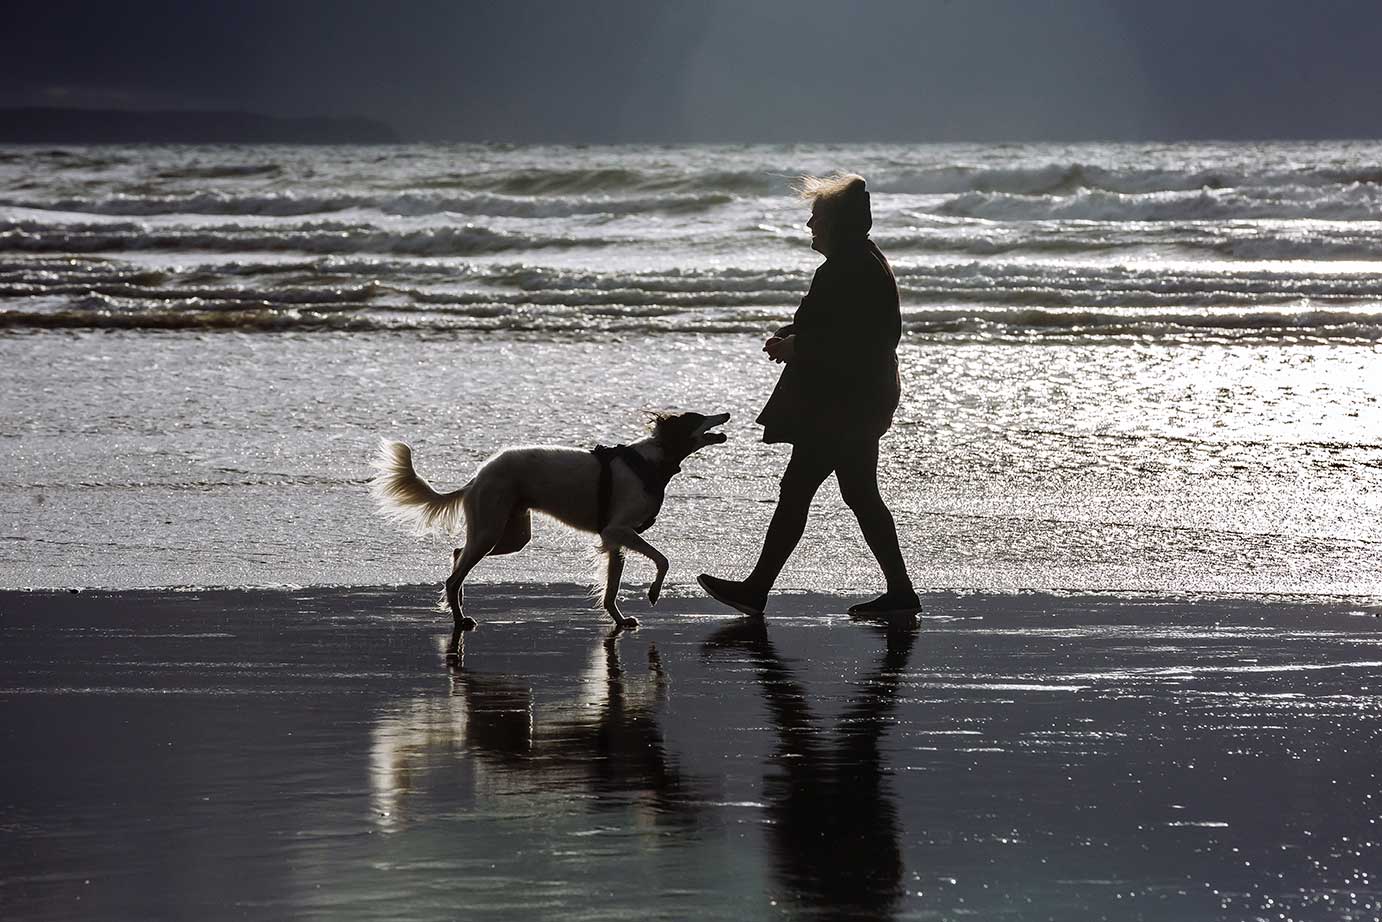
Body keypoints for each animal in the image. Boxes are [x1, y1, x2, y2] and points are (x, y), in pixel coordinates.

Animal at [373, 411, 729, 649]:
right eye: (698, 417)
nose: (725, 413)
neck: (651, 463)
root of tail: (477, 476)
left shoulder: (614, 539)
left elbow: (611, 590)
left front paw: (618, 619)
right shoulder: (618, 531)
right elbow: (663, 560)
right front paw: (653, 593)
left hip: (512, 534)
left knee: (458, 553)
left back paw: (457, 601)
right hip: (491, 529)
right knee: (455, 572)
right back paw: (459, 618)